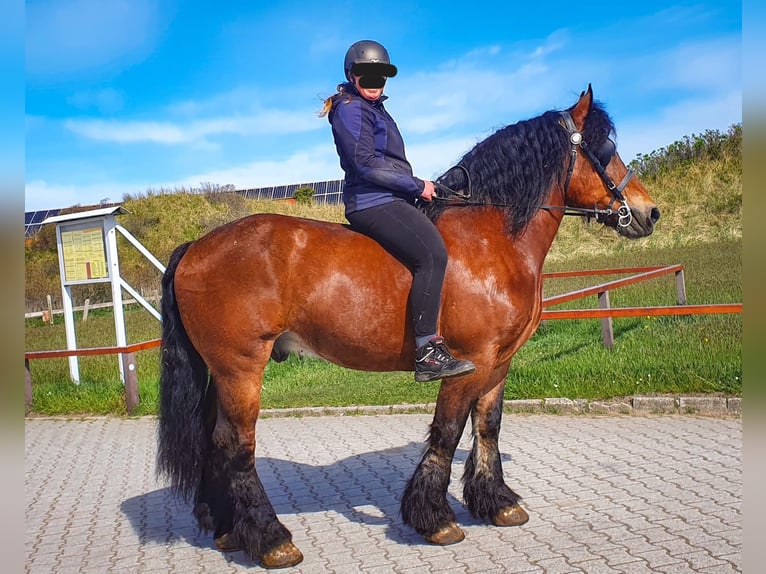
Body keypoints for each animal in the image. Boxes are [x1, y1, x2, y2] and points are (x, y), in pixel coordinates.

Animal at [156, 86, 660, 572]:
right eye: (604, 147)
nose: (649, 213)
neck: (490, 239)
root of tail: (196, 247)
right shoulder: (469, 362)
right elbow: (448, 430)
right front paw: (434, 518)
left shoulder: (499, 362)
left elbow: (488, 426)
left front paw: (496, 503)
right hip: (241, 369)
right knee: (235, 444)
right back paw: (271, 539)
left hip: (220, 372)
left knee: (212, 439)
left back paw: (228, 529)